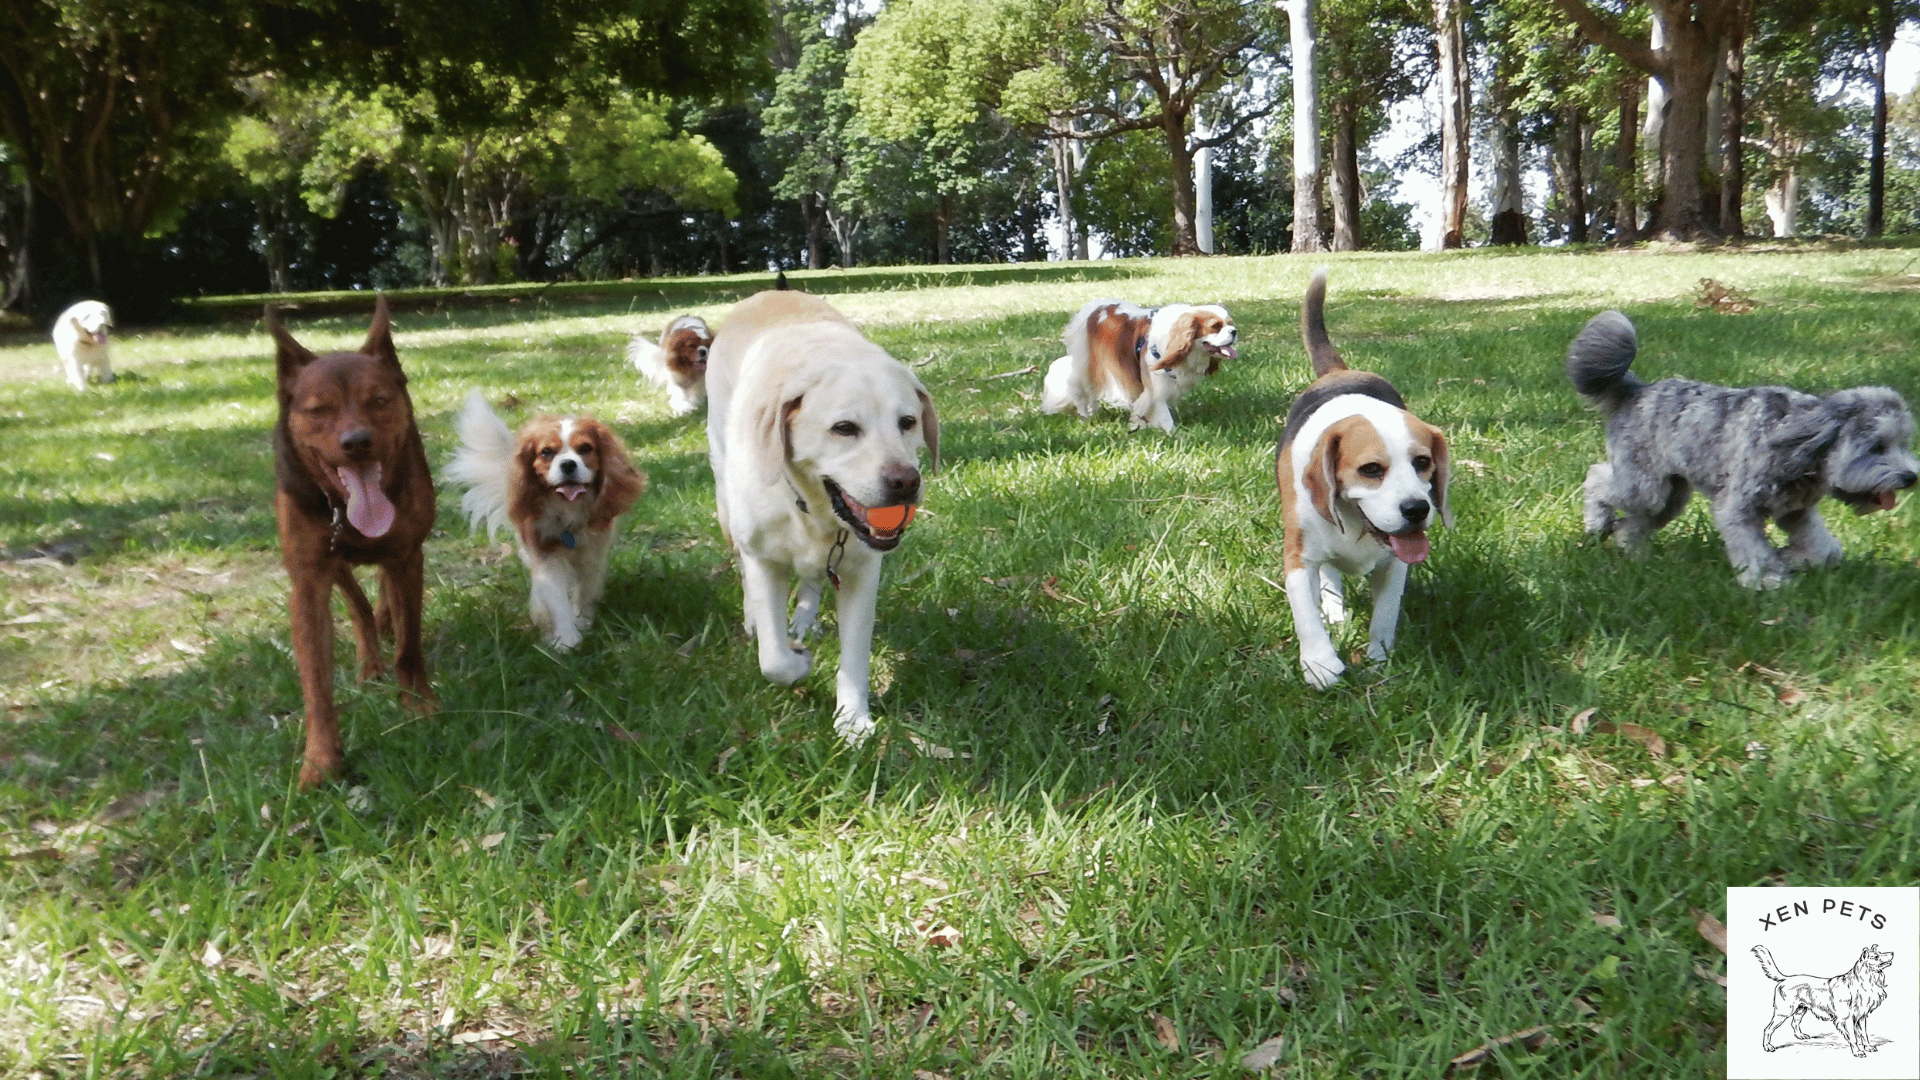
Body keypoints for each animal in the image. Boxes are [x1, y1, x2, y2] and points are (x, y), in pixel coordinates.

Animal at [268, 297, 437, 787]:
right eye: (318, 409)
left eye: (378, 400)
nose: (357, 441)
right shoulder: (309, 580)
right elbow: (316, 684)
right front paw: (321, 761)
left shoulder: (407, 555)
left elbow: (410, 645)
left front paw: (418, 704)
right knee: (359, 602)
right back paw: (370, 656)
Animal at [449, 393, 645, 645]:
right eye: (546, 453)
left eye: (585, 448)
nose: (568, 464)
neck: (568, 509)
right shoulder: (545, 554)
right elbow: (556, 598)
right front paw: (567, 639)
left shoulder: (593, 553)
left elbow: (586, 588)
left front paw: (583, 619)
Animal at [710, 286, 940, 737]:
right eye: (844, 428)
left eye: (907, 422)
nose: (905, 482)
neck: (812, 510)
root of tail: (768, 291)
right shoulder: (763, 558)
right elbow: (774, 660)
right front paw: (797, 662)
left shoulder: (862, 571)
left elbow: (854, 654)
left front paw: (852, 720)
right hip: (726, 501)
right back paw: (756, 618)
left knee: (812, 579)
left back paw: (803, 618)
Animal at [1044, 295, 1236, 430]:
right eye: (1215, 326)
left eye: (1230, 324)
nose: (1234, 331)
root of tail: (1092, 306)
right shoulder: (1155, 388)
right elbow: (1164, 416)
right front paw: (1175, 434)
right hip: (1085, 364)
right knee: (1079, 389)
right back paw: (1085, 415)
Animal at [1566, 309, 1912, 588]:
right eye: (1877, 446)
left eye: (1905, 443)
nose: (1911, 477)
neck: (1800, 447)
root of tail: (1635, 390)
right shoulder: (1737, 510)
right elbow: (1754, 551)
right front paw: (1767, 580)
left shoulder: (1797, 511)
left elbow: (1823, 548)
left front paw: (1791, 558)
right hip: (1644, 487)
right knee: (1596, 478)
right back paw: (1596, 524)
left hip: (1670, 495)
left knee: (1632, 524)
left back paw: (1633, 553)